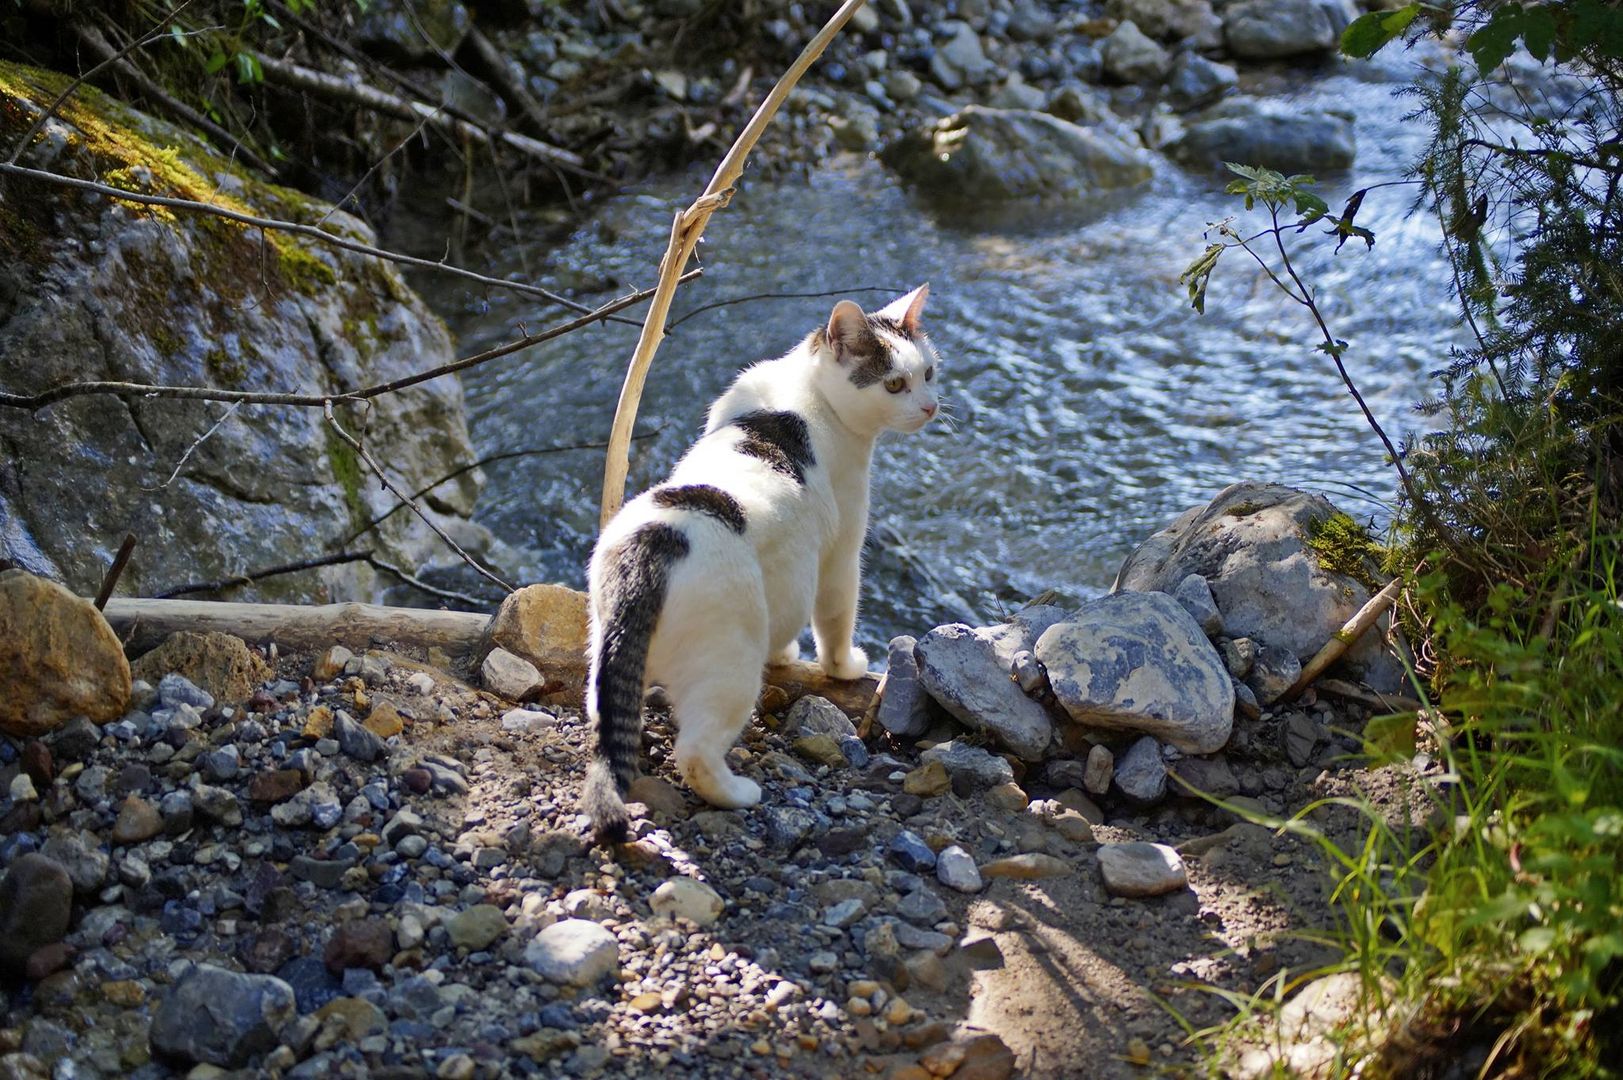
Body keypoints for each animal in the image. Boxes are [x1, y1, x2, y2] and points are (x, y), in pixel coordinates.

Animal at [584, 282, 941, 838]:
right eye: (895, 384)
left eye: (928, 373)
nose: (930, 407)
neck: (801, 393)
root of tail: (654, 544)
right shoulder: (840, 553)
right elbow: (835, 619)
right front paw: (843, 667)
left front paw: (787, 655)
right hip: (730, 668)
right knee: (695, 752)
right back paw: (737, 793)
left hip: (602, 660)